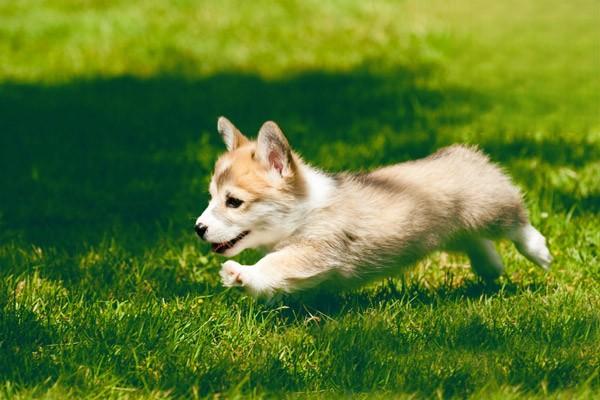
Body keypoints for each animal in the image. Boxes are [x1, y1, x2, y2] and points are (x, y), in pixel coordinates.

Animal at [195, 117, 552, 298]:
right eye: (211, 197)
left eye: (233, 202)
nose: (198, 229)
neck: (302, 211)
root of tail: (466, 153)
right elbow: (278, 279)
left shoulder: (316, 249)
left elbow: (274, 264)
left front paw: (239, 272)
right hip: (449, 229)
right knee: (475, 241)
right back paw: (490, 266)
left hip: (488, 208)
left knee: (516, 223)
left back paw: (539, 252)